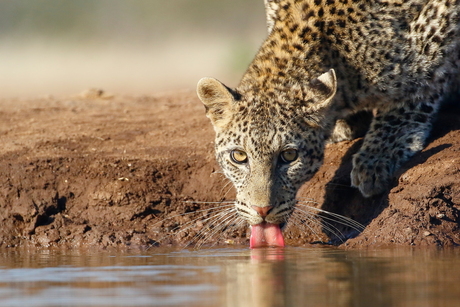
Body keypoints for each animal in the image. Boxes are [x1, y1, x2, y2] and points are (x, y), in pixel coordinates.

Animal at [195, 0, 460, 249]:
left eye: (289, 156)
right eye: (239, 156)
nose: (262, 210)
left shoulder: (435, 25)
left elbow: (419, 90)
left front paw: (376, 159)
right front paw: (345, 125)